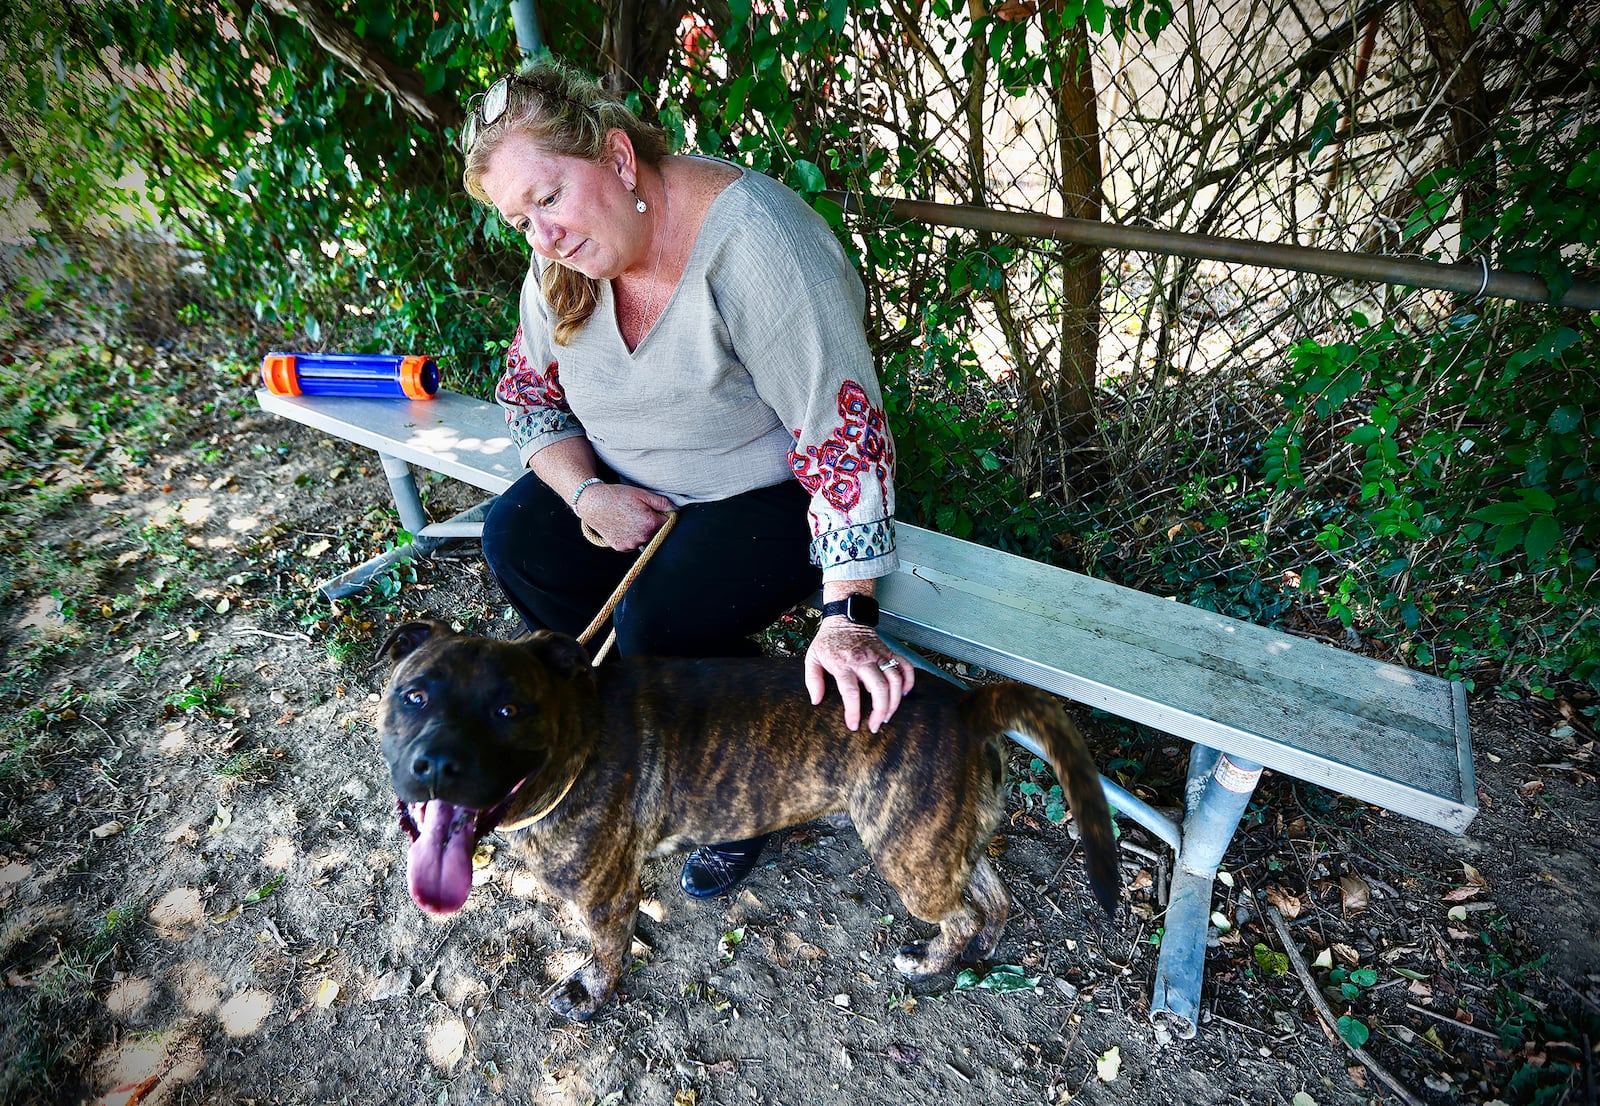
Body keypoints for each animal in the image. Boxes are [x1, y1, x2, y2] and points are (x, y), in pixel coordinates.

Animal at [379, 624, 1120, 1017]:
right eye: (414, 696)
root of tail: (968, 705)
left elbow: (606, 950)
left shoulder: (605, 896)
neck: (576, 735)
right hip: (942, 840)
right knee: (993, 893)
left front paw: (592, 991)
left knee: (961, 911)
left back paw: (932, 961)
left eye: (508, 710)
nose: (436, 766)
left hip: (908, 854)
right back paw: (982, 949)